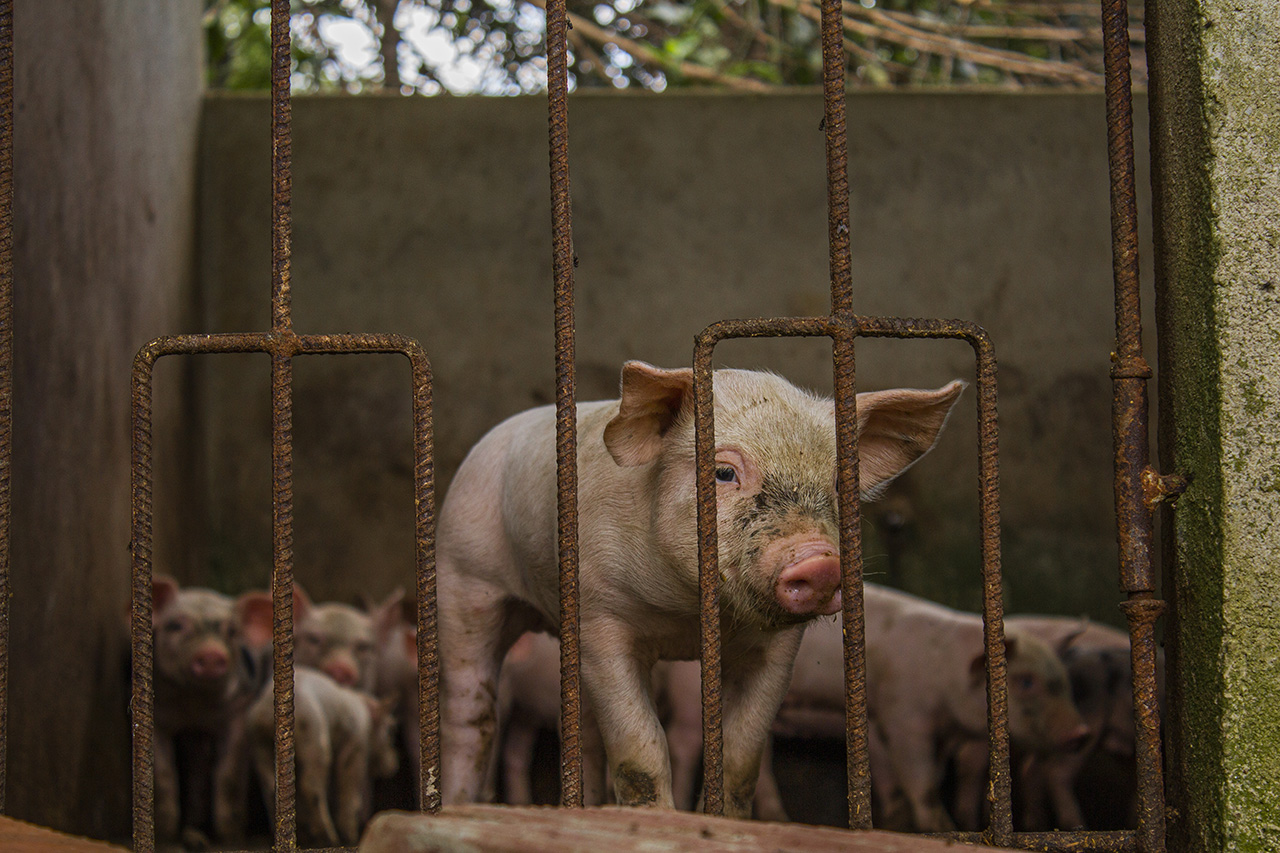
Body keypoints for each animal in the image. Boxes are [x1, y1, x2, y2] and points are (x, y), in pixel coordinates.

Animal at [146, 573, 273, 840]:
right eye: (176, 625)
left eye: (232, 631)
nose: (213, 654)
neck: (196, 705)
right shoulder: (159, 714)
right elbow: (162, 772)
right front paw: (165, 832)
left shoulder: (238, 711)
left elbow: (228, 771)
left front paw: (229, 835)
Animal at [244, 671, 394, 845]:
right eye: (389, 730)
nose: (394, 765)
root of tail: (265, 710)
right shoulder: (356, 744)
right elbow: (349, 786)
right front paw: (351, 837)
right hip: (314, 736)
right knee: (311, 786)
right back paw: (329, 838)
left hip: (259, 744)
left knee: (270, 786)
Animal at [435, 356, 962, 809]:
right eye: (723, 472)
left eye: (837, 485)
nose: (821, 561)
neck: (683, 613)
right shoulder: (600, 615)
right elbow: (640, 749)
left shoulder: (776, 651)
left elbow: (741, 758)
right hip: (464, 579)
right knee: (471, 714)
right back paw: (460, 805)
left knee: (582, 730)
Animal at [860, 581, 1090, 824]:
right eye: (1027, 681)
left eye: (1064, 679)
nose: (1081, 733)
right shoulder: (903, 716)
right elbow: (922, 783)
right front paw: (942, 827)